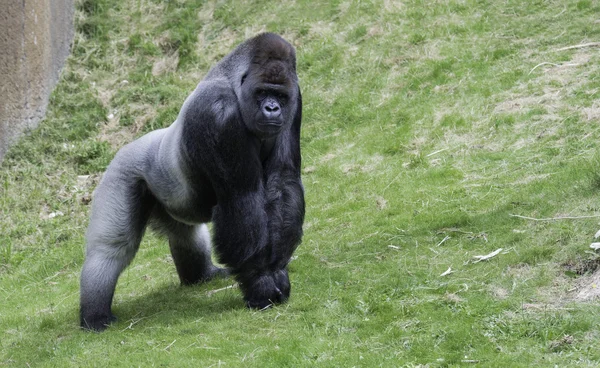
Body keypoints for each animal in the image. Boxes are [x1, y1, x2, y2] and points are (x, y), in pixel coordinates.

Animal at [79, 32, 304, 330]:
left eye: (280, 95)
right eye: (262, 92)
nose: (272, 108)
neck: (234, 82)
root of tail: (128, 147)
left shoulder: (295, 100)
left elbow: (283, 182)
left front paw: (276, 270)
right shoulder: (217, 113)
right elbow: (241, 197)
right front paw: (261, 283)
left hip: (168, 199)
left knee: (186, 234)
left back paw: (202, 275)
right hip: (121, 173)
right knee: (111, 249)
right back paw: (95, 317)